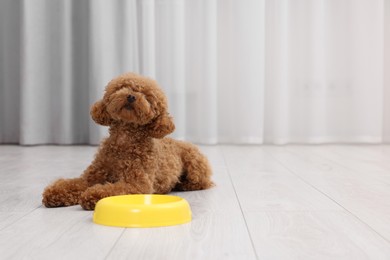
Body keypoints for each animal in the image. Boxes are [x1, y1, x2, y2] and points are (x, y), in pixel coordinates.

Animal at [42, 72, 213, 210]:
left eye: (147, 97)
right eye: (123, 87)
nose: (131, 96)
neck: (124, 141)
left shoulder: (137, 185)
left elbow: (112, 190)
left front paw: (93, 195)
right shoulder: (91, 176)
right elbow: (74, 183)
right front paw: (54, 192)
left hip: (195, 163)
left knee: (203, 182)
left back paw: (184, 184)